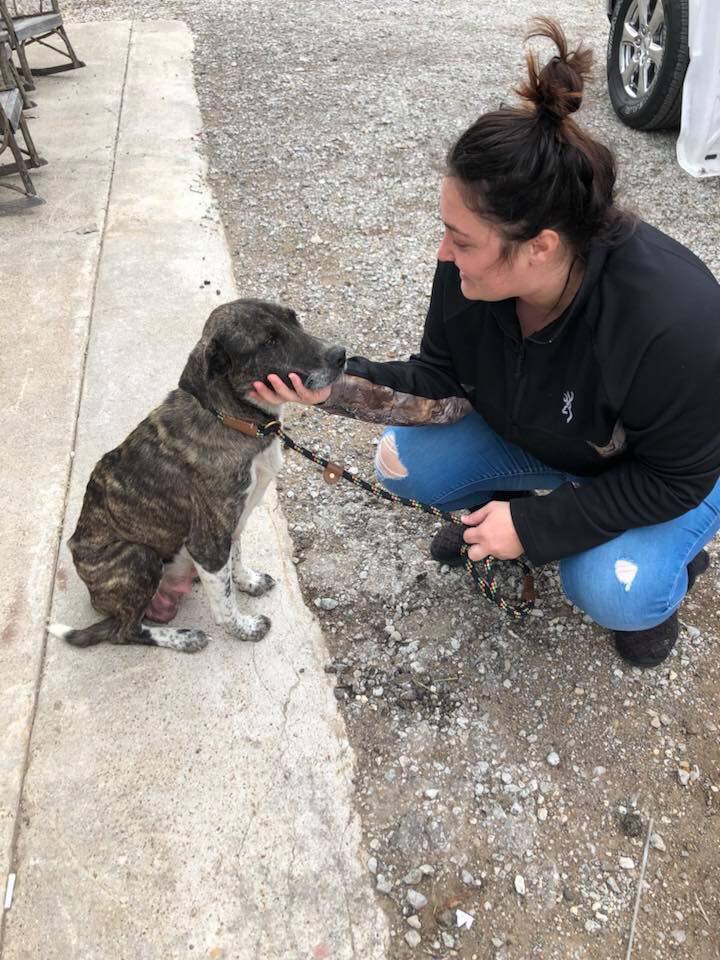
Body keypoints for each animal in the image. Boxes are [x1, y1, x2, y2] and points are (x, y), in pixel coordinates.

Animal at [48, 298, 346, 652]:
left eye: (294, 319)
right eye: (269, 341)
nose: (341, 355)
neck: (233, 419)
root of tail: (96, 600)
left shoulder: (232, 525)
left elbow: (234, 560)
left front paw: (248, 581)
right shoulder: (207, 541)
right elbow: (226, 607)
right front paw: (245, 629)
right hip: (138, 556)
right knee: (123, 631)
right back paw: (181, 637)